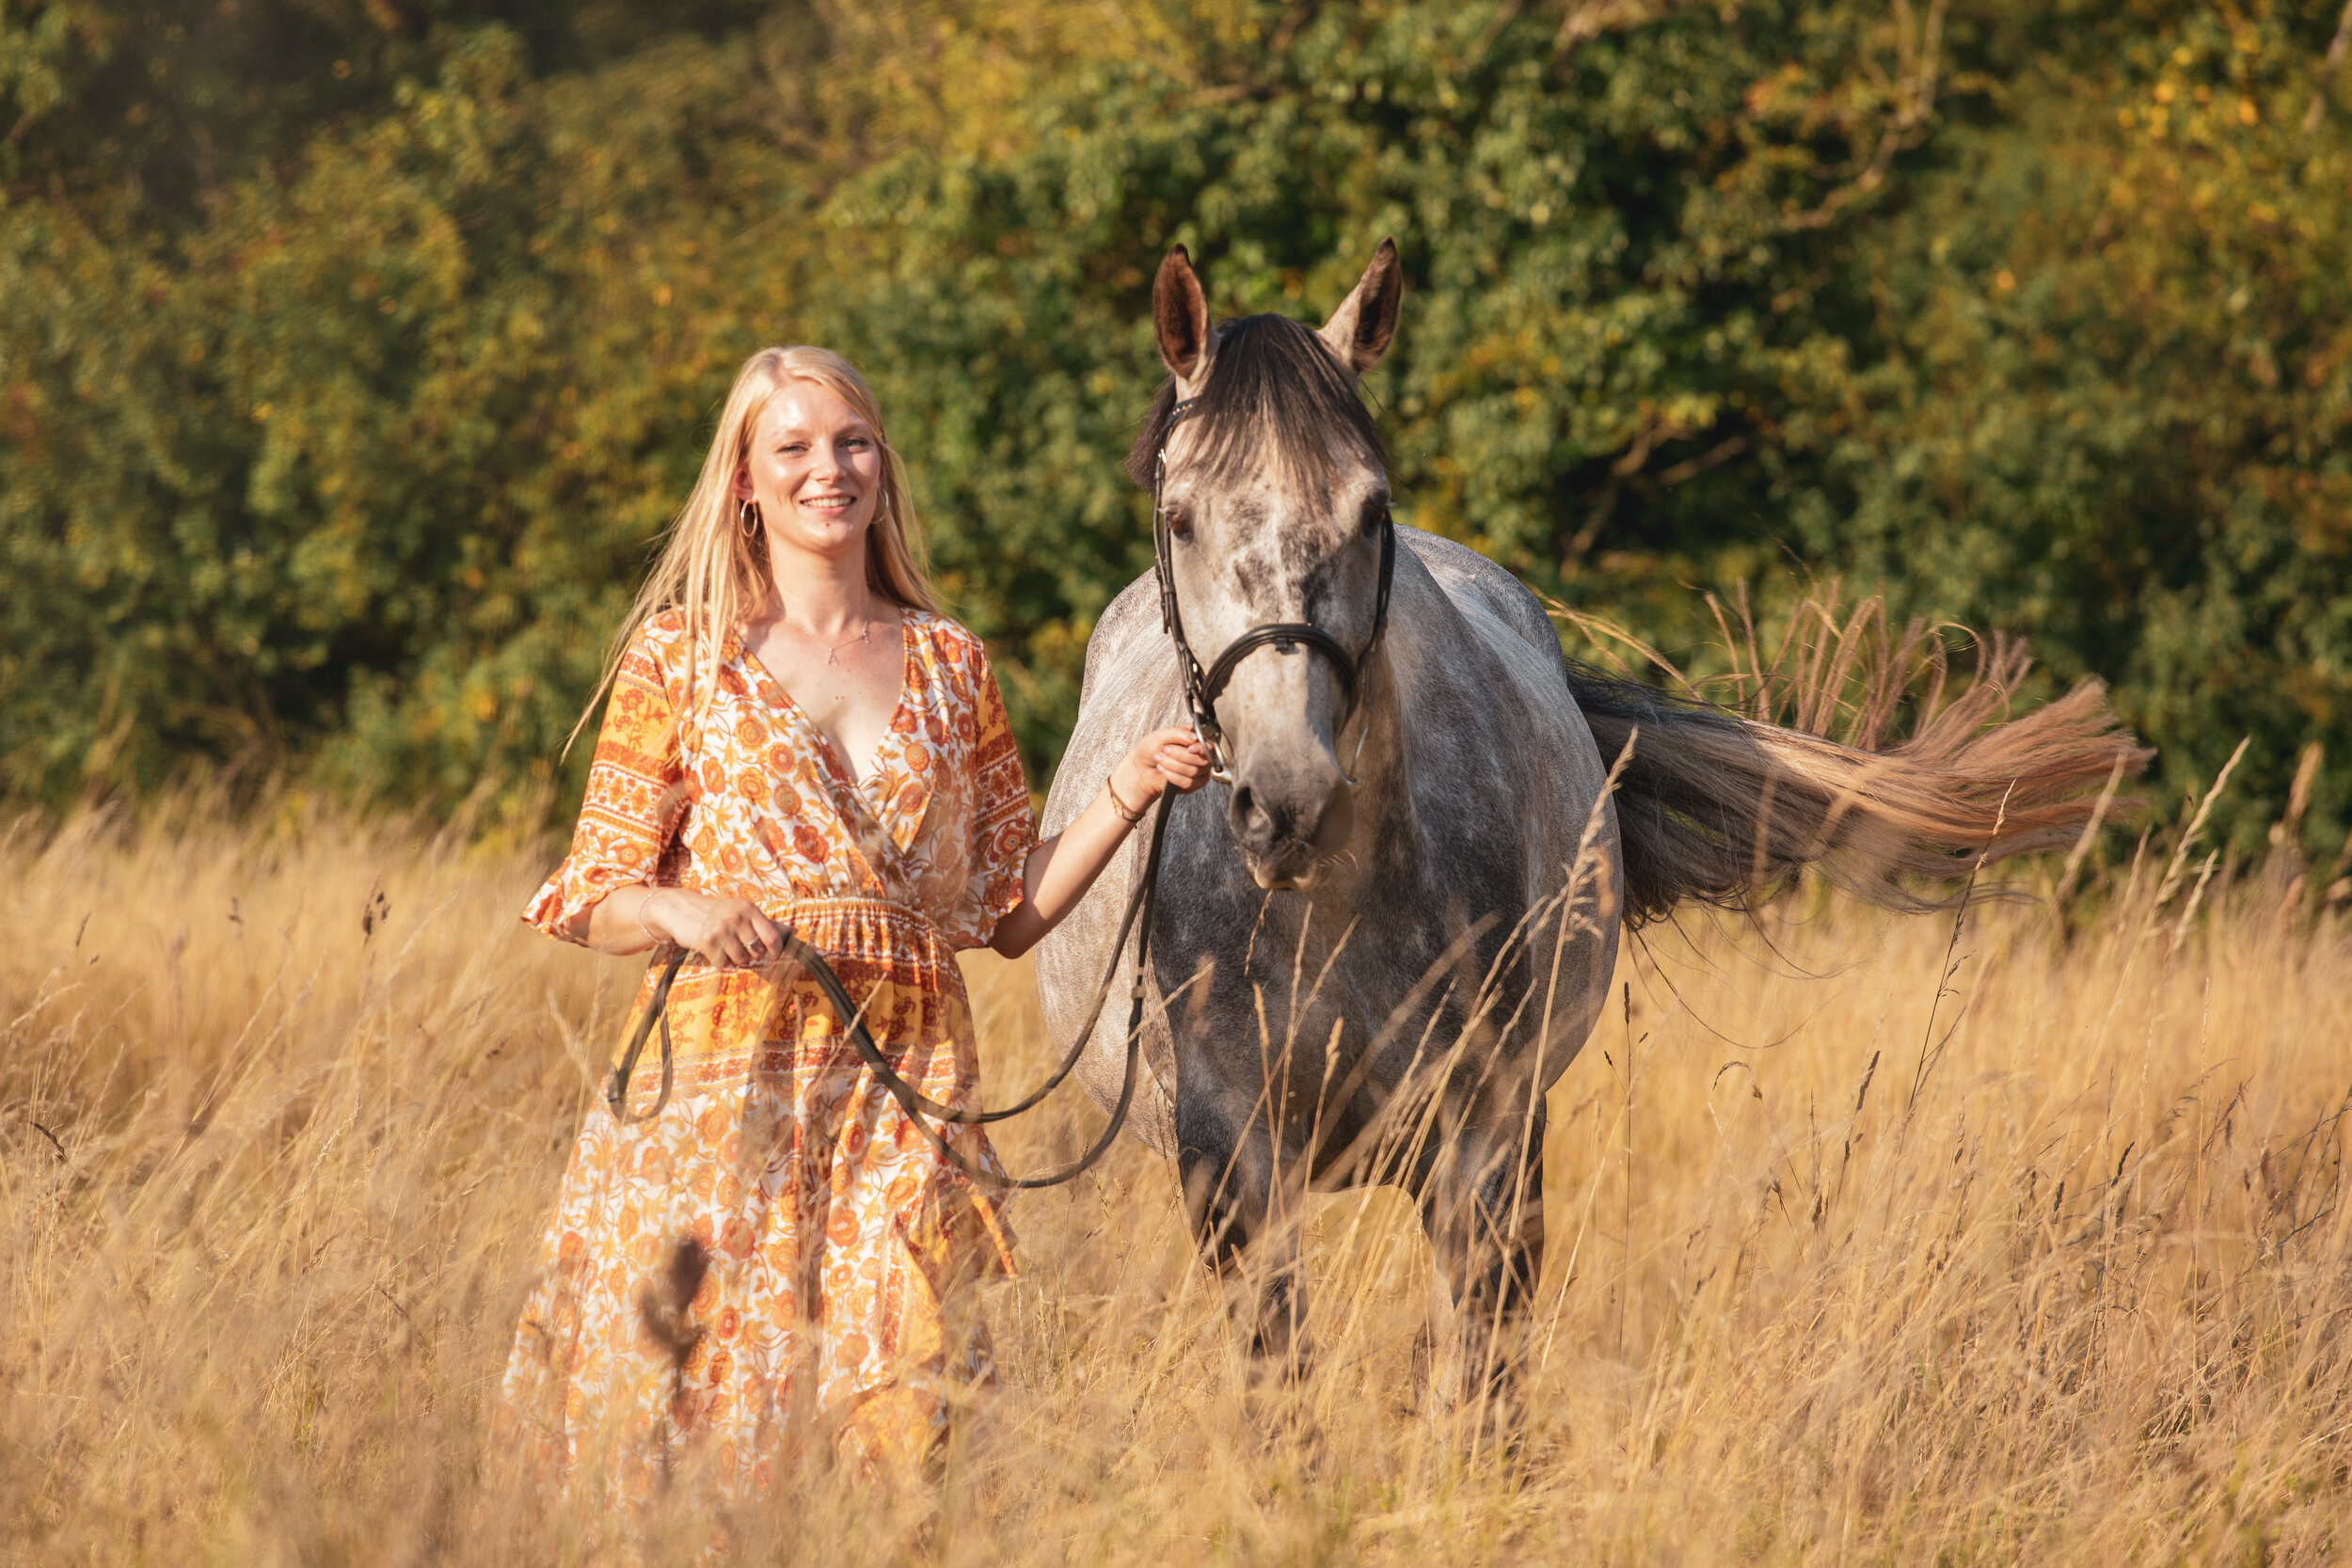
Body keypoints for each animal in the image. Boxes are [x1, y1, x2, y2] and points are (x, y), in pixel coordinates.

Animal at [1040, 242, 2145, 1410]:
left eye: (1370, 510)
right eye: (1180, 516)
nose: (1289, 804)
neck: (1323, 913)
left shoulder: (1484, 1141)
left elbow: (1482, 1386)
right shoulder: (1232, 1165)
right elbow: (1281, 1388)